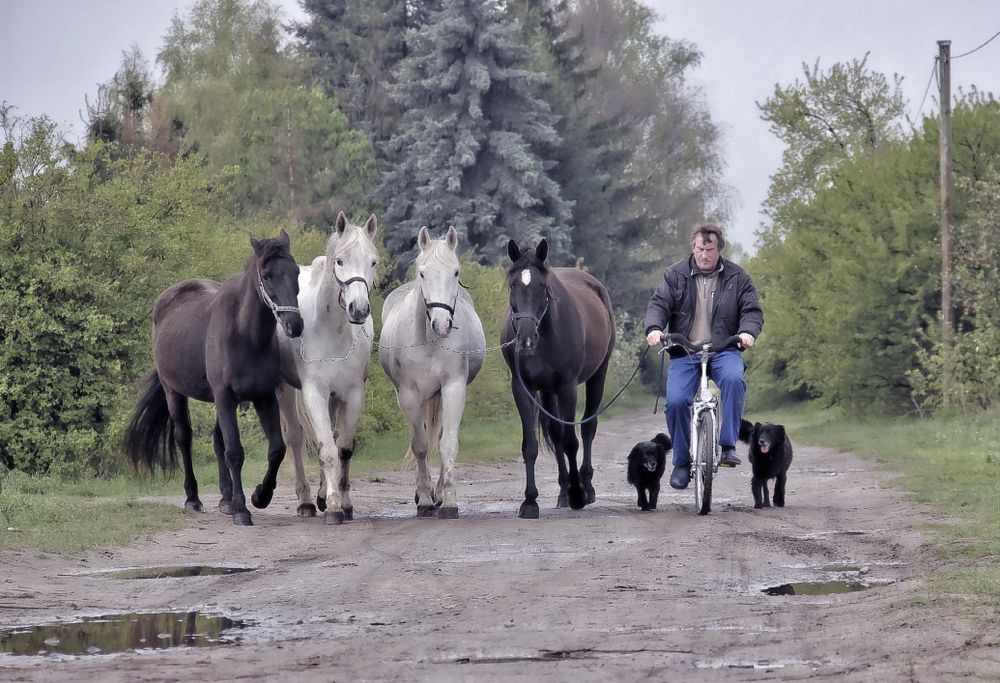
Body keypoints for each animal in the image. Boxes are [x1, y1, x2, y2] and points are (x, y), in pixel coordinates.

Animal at [122, 232, 300, 528]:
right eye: (267, 275)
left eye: (296, 272)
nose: (294, 325)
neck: (246, 335)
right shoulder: (225, 397)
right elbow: (235, 452)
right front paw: (242, 509)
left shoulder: (263, 397)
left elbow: (276, 449)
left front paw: (260, 496)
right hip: (174, 392)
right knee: (184, 438)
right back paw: (193, 498)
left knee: (218, 442)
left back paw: (226, 499)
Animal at [278, 211, 378, 528]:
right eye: (340, 261)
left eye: (373, 261)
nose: (359, 309)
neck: (331, 331)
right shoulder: (315, 393)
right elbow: (326, 450)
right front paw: (333, 507)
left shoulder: (352, 393)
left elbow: (343, 447)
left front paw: (343, 502)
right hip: (286, 390)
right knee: (295, 439)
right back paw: (307, 502)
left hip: (335, 398)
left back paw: (321, 495)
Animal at [378, 226, 484, 520]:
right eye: (423, 273)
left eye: (456, 272)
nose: (442, 324)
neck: (428, 340)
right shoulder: (409, 395)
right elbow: (420, 445)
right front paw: (424, 499)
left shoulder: (453, 388)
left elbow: (447, 444)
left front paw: (447, 501)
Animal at [504, 239, 612, 520]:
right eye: (512, 284)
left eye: (543, 286)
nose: (526, 339)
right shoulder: (523, 388)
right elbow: (531, 445)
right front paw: (530, 501)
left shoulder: (567, 387)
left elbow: (571, 441)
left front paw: (577, 494)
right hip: (547, 391)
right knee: (555, 433)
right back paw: (563, 490)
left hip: (597, 376)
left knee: (587, 428)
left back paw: (585, 486)